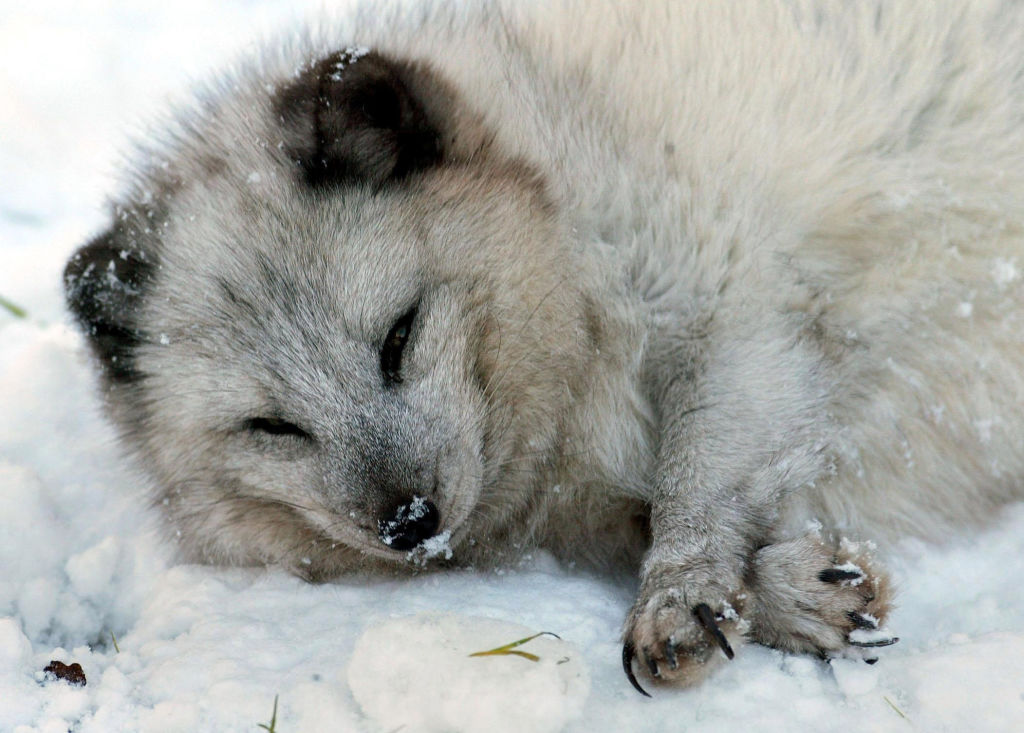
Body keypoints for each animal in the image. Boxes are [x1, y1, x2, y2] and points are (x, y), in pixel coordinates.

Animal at [63, 0, 1024, 693]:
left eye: (399, 335)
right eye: (272, 427)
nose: (409, 521)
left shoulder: (738, 308)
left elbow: (696, 481)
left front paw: (681, 592)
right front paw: (795, 590)